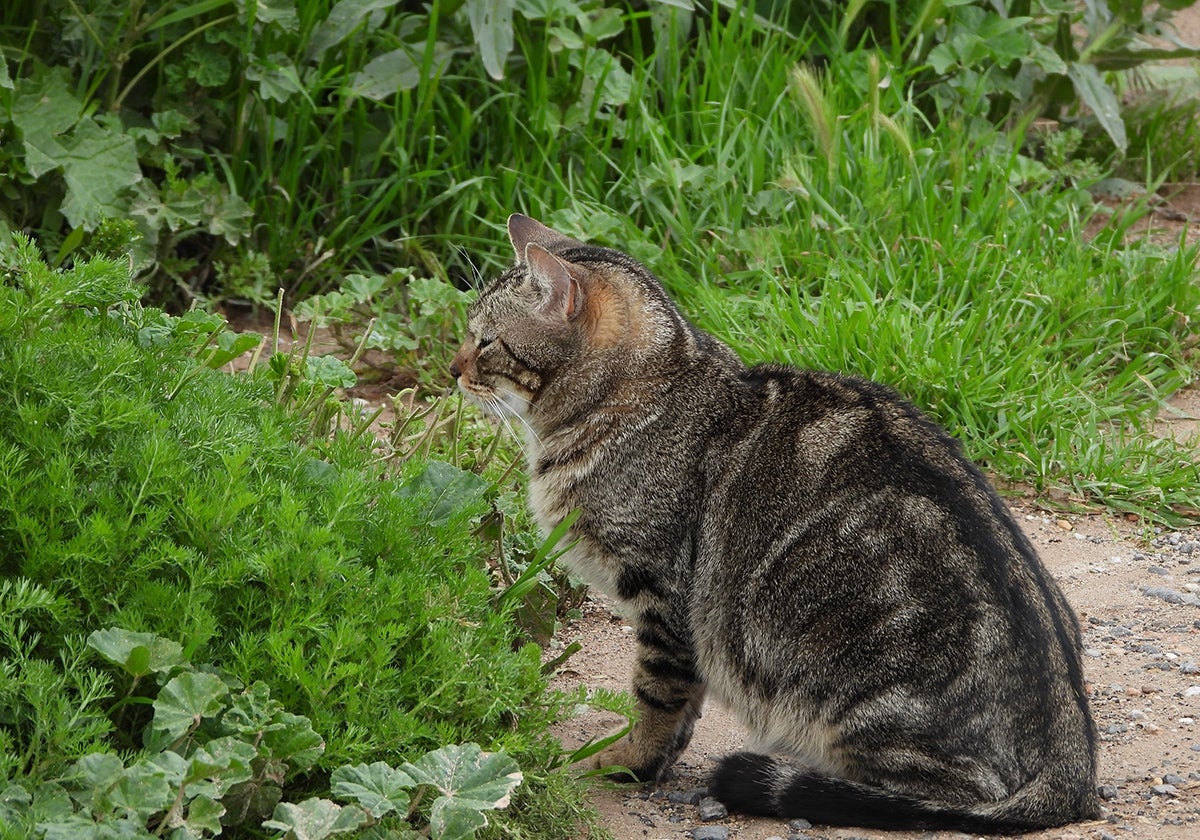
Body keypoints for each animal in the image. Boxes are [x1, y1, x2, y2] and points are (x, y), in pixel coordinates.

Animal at [451, 213, 1099, 830]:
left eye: (485, 342)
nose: (453, 368)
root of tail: (1075, 764)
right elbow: (684, 703)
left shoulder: (665, 596)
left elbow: (657, 696)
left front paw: (630, 761)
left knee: (946, 797)